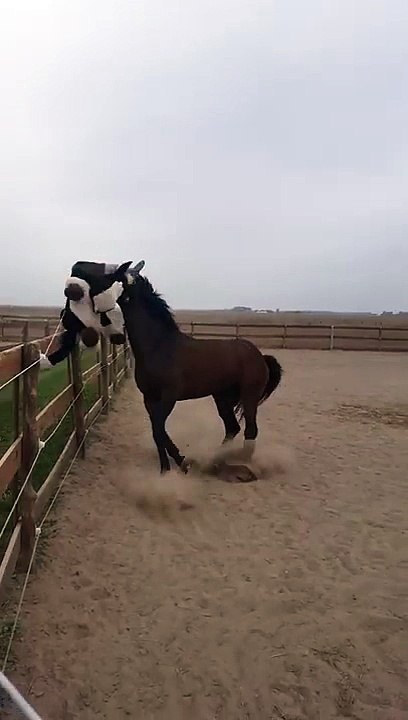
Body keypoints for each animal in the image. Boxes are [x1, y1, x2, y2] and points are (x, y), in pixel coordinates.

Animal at [91, 261, 283, 478]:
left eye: (115, 278)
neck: (159, 346)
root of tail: (260, 356)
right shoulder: (149, 398)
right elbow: (158, 431)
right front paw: (175, 464)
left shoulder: (169, 397)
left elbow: (158, 430)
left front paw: (173, 466)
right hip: (222, 397)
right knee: (232, 428)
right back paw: (214, 461)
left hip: (249, 397)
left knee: (250, 430)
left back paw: (241, 465)